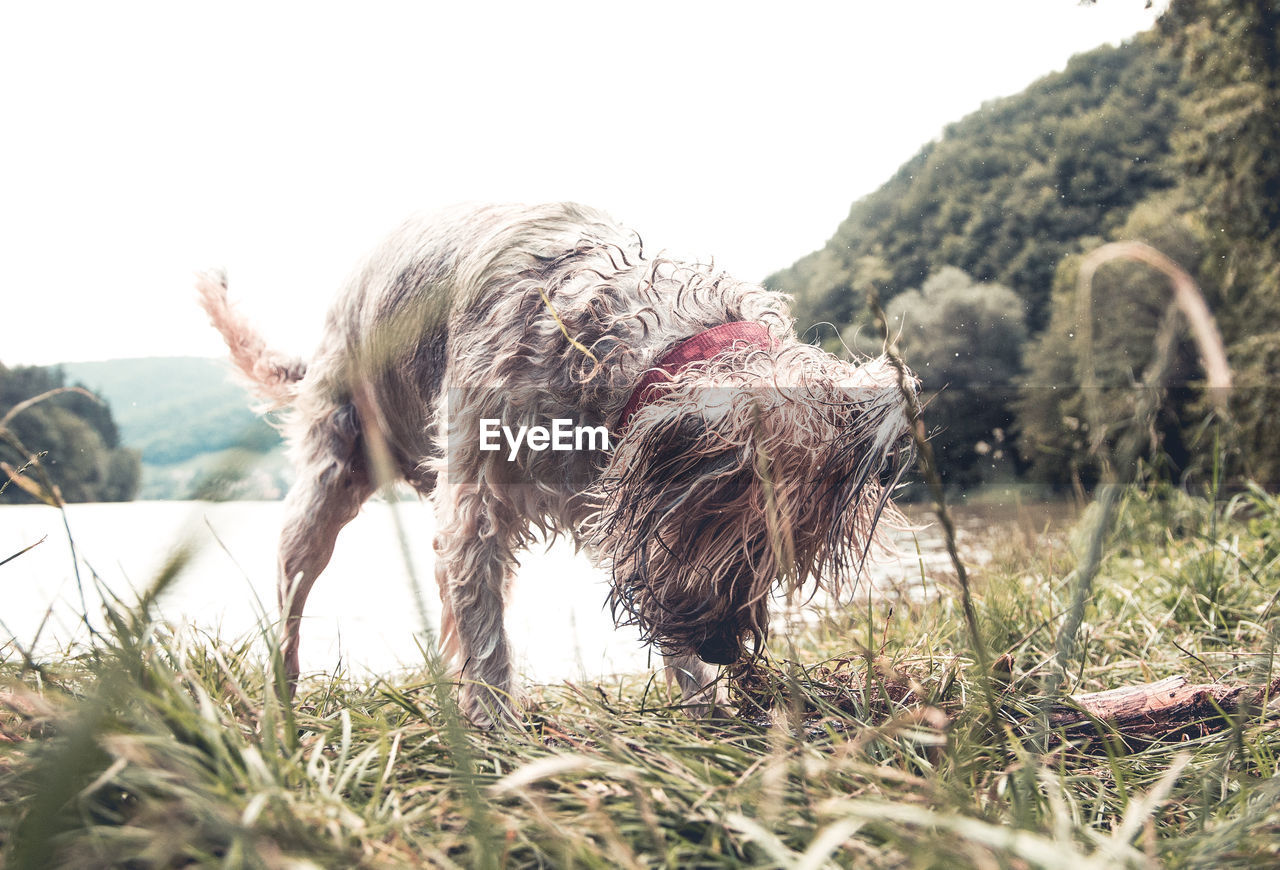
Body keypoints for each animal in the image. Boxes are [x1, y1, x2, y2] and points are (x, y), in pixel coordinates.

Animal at [194, 202, 916, 726]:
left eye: (775, 561)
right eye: (742, 543)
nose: (724, 647)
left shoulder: (618, 507)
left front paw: (710, 706)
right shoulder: (477, 496)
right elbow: (485, 628)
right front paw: (497, 730)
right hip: (330, 472)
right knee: (295, 588)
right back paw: (283, 695)